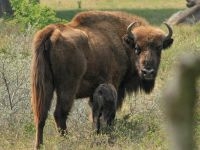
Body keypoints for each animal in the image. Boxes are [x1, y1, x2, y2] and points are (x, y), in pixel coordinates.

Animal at [31, 10, 173, 149]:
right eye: (137, 48)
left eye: (159, 48)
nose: (147, 72)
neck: (123, 42)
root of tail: (52, 31)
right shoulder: (115, 87)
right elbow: (109, 114)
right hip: (67, 88)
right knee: (59, 113)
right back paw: (66, 141)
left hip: (45, 85)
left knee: (41, 115)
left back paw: (40, 145)